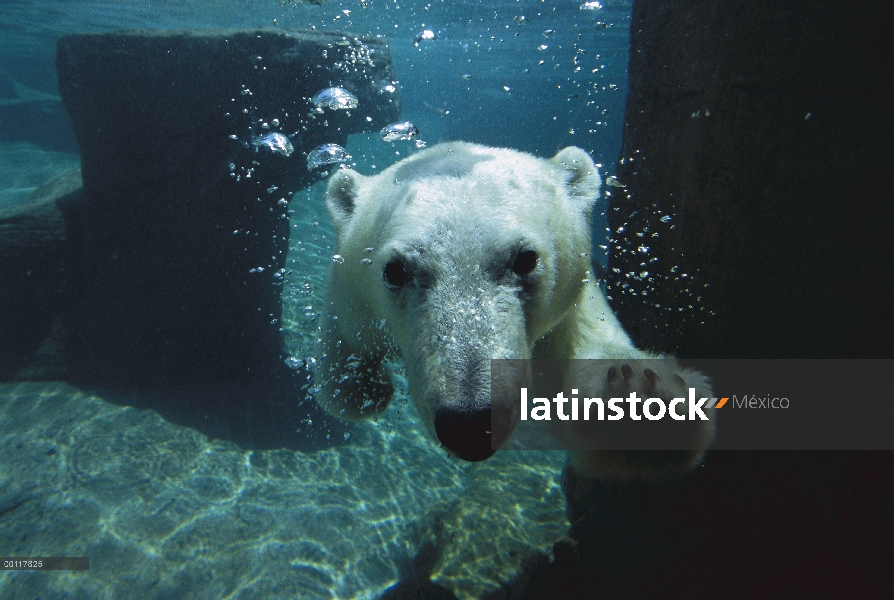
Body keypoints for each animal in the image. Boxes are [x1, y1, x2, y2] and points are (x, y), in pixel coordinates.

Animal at [318, 142, 716, 482]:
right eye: (395, 270)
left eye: (526, 259)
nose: (470, 423)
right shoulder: (353, 298)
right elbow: (342, 351)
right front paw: (367, 388)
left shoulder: (571, 304)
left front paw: (638, 403)